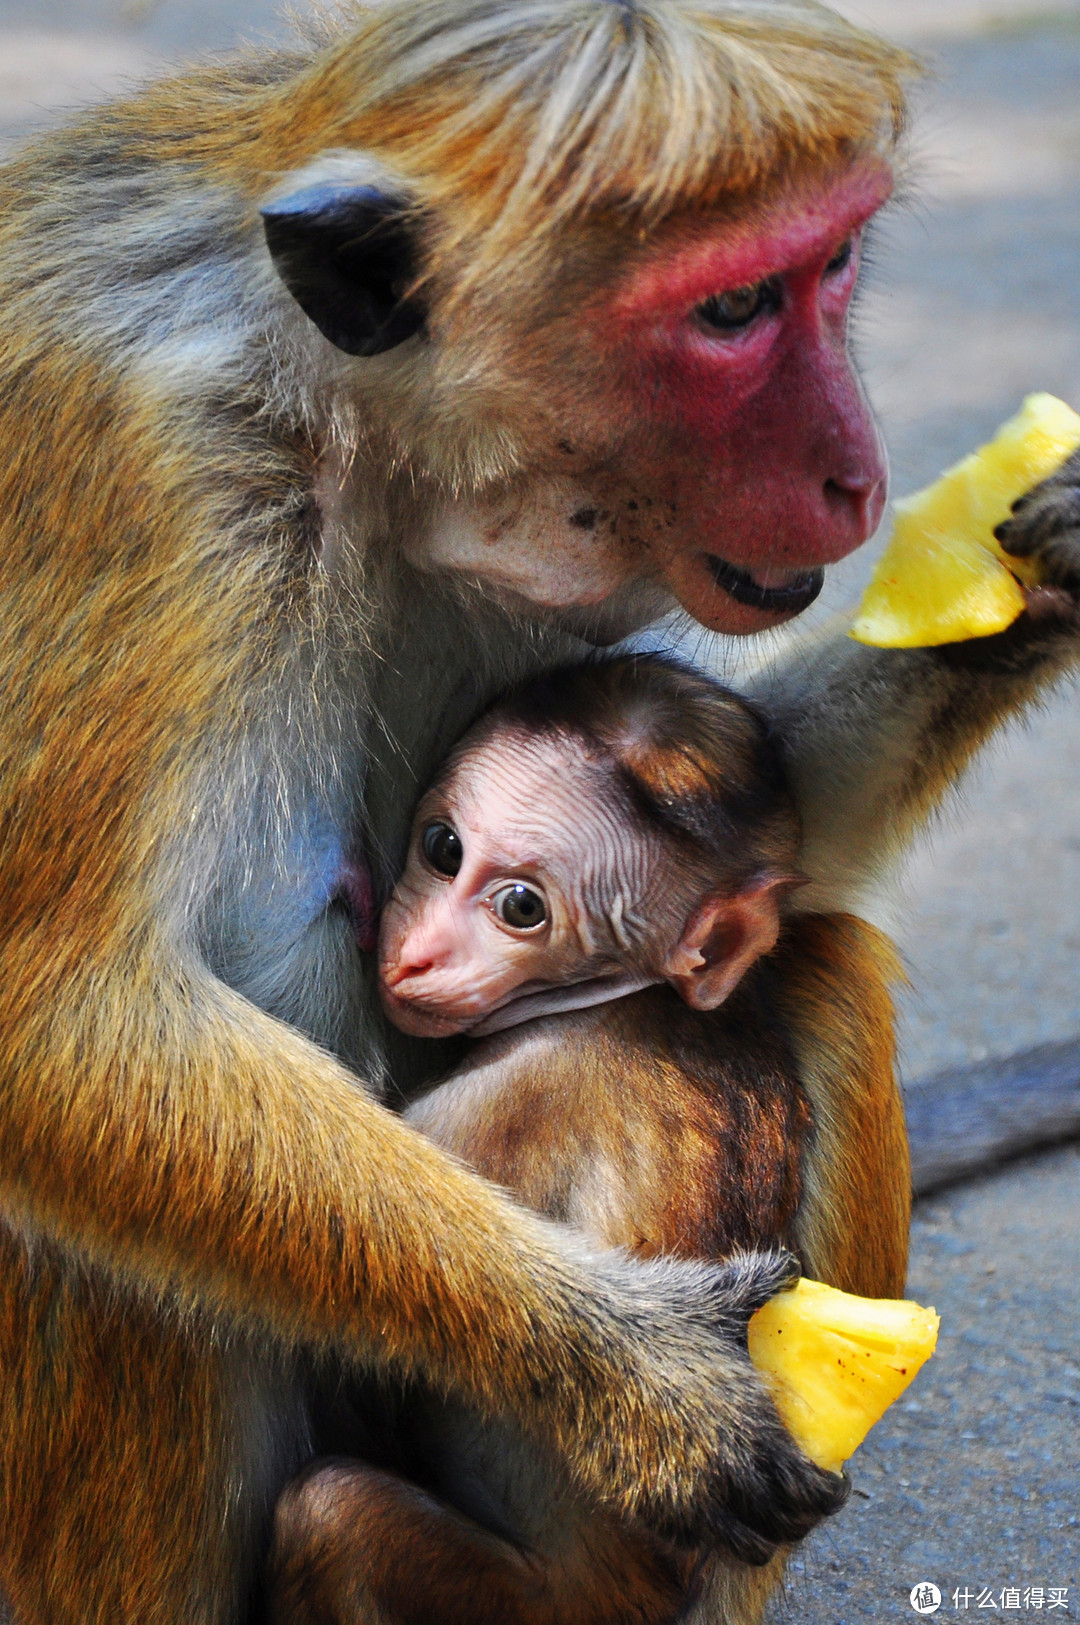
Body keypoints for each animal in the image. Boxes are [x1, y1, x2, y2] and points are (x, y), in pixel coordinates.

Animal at [267, 656, 831, 1625]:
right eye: (443, 847)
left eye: (522, 907)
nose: (420, 952)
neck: (619, 997)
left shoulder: (509, 1096)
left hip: (540, 1604)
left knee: (331, 1514)